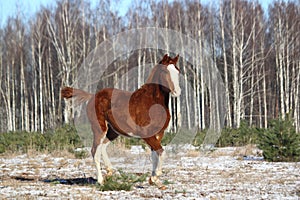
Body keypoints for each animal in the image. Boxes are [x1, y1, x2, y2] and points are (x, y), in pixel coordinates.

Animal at [61, 54, 180, 188]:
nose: (177, 92)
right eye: (165, 71)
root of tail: (92, 96)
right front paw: (156, 177)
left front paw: (154, 180)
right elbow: (161, 152)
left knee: (102, 147)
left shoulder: (159, 133)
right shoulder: (146, 134)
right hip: (99, 128)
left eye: (178, 71)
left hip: (113, 131)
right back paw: (101, 181)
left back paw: (109, 172)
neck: (152, 102)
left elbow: (155, 154)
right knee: (95, 150)